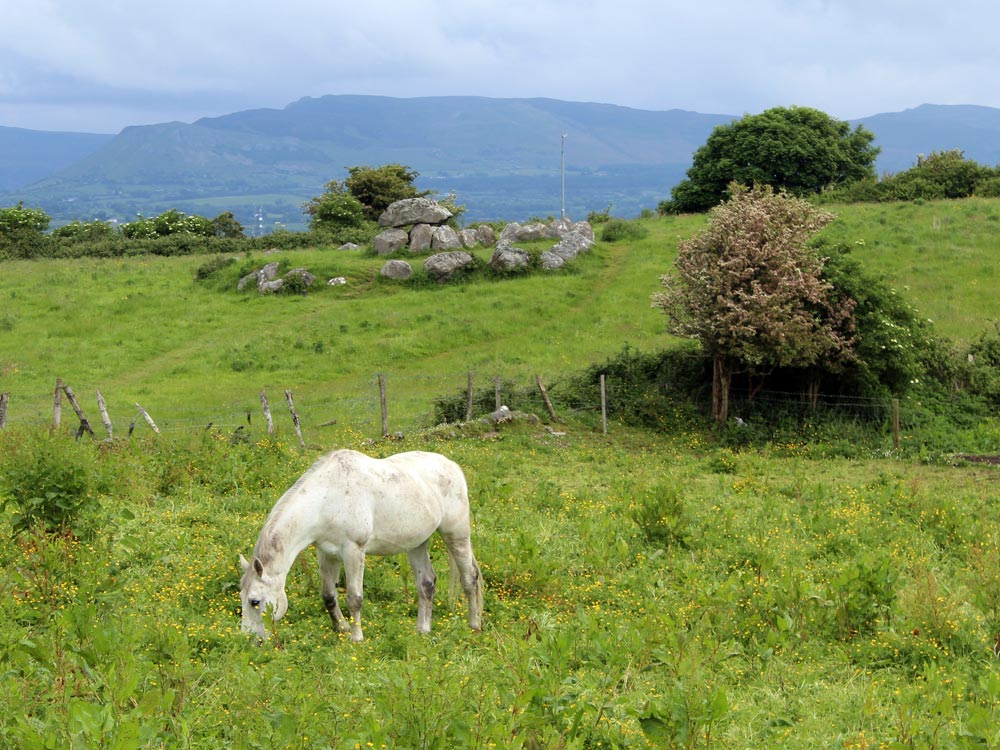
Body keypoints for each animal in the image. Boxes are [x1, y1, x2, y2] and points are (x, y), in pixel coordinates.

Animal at [238, 450, 480, 644]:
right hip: (417, 543)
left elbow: (354, 598)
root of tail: (452, 465)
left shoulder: (353, 551)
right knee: (426, 584)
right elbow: (328, 595)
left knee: (470, 578)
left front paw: (356, 638)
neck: (326, 498)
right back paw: (423, 630)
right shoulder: (327, 553)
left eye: (254, 601)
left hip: (456, 534)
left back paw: (475, 626)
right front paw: (341, 629)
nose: (251, 640)